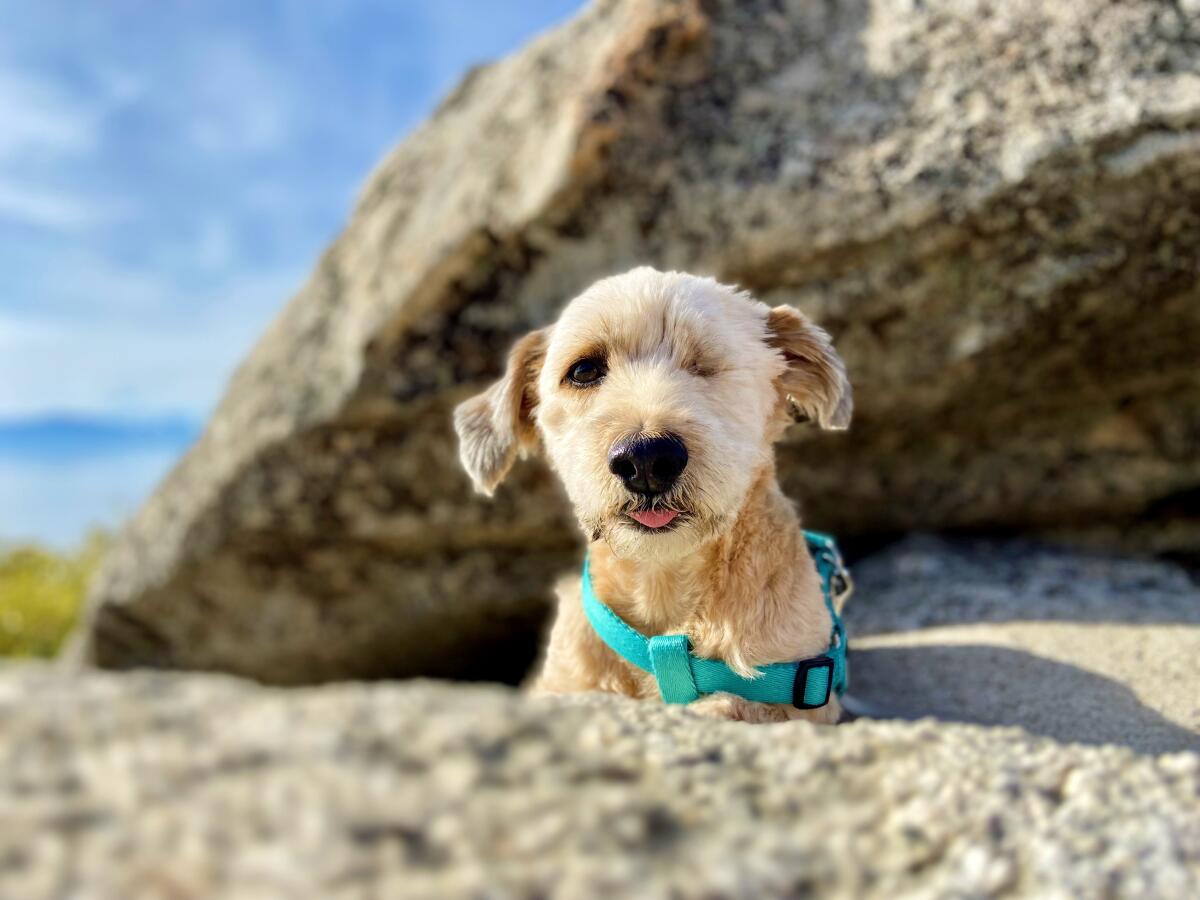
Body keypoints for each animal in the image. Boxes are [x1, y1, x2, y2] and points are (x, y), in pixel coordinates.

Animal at [451, 267, 854, 724]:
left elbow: (752, 707)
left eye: (705, 363)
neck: (662, 585)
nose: (646, 458)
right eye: (584, 370)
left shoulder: (808, 690)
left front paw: (721, 705)